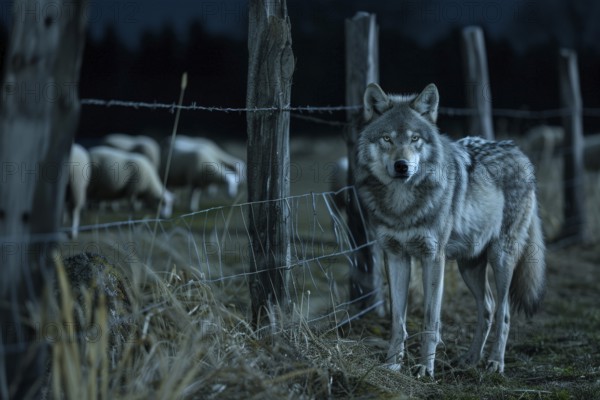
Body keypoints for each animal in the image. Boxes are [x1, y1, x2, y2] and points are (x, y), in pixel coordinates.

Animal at [354, 83, 548, 376]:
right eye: (387, 139)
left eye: (414, 139)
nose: (402, 166)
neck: (402, 206)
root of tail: (517, 150)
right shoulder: (396, 256)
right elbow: (398, 321)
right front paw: (392, 364)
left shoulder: (434, 258)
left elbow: (430, 320)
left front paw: (425, 368)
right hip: (469, 265)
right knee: (488, 308)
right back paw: (470, 359)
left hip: (501, 258)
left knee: (503, 313)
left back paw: (495, 363)